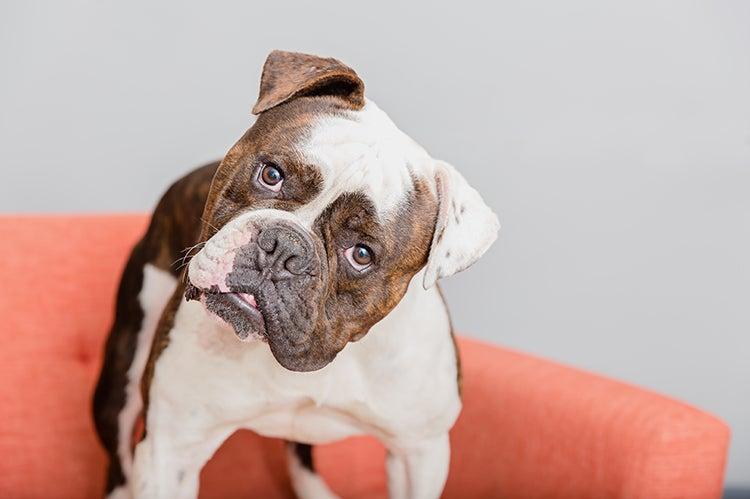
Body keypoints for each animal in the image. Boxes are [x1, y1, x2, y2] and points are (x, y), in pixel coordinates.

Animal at [95, 47, 500, 499]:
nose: (282, 248)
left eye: (362, 254)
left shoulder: (420, 453)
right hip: (125, 360)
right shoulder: (170, 451)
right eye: (271, 174)